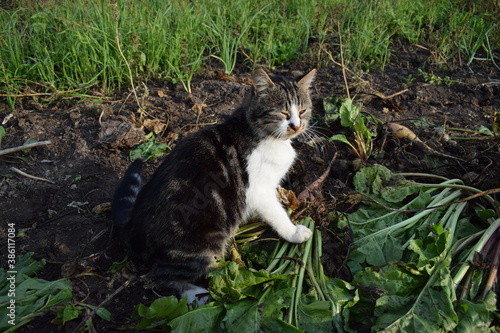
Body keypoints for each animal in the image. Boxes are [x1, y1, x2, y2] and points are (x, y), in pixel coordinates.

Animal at [113, 68, 316, 304]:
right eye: (283, 112)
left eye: (302, 111)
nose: (297, 126)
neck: (260, 133)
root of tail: (133, 226)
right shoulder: (259, 191)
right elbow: (277, 214)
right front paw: (294, 232)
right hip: (205, 244)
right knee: (160, 276)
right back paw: (196, 293)